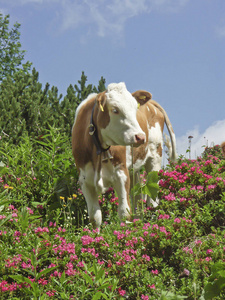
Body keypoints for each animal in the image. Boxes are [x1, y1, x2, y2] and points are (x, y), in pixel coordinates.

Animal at [71, 82, 176, 227]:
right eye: (115, 110)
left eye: (135, 108)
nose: (140, 137)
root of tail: (151, 104)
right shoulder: (85, 180)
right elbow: (94, 218)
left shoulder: (121, 173)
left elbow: (124, 213)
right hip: (133, 169)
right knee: (137, 197)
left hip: (155, 156)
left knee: (152, 200)